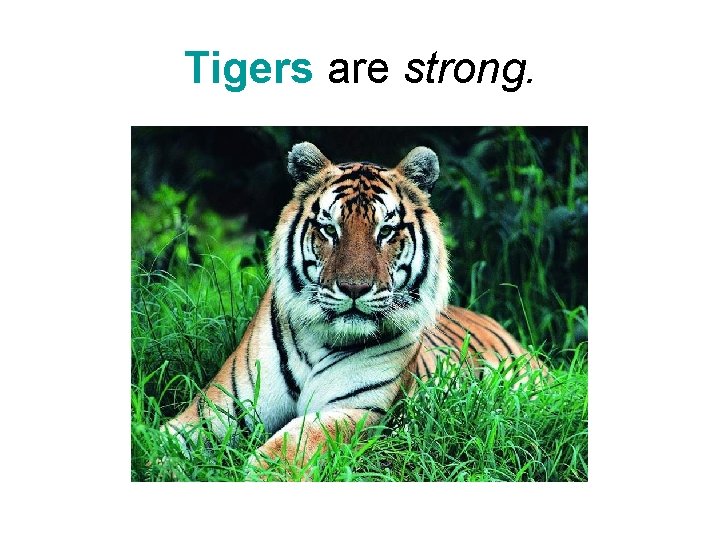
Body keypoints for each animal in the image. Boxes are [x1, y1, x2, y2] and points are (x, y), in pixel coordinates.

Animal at [162, 142, 546, 472]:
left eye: (386, 231)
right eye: (330, 229)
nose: (354, 288)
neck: (316, 344)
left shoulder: (356, 409)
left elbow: (292, 445)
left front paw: (259, 475)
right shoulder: (217, 409)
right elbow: (162, 441)